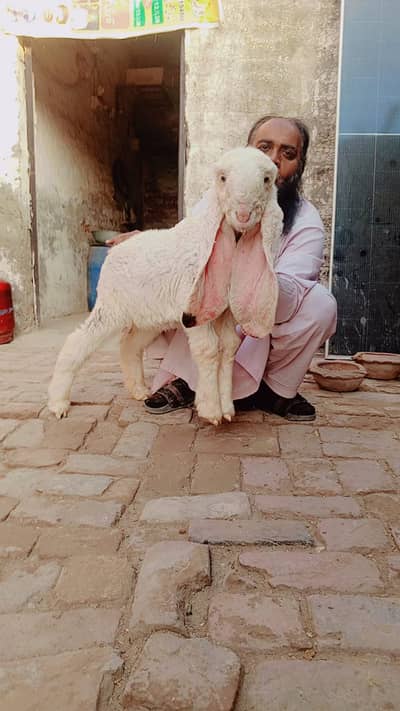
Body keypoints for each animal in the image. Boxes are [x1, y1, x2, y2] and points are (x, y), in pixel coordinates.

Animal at [48, 146, 282, 425]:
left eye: (267, 180)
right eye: (223, 178)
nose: (244, 215)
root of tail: (115, 250)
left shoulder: (223, 310)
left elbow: (229, 347)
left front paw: (226, 408)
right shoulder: (193, 308)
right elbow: (209, 349)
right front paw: (211, 410)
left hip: (148, 317)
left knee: (129, 344)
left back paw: (139, 390)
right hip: (111, 306)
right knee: (78, 341)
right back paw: (58, 402)